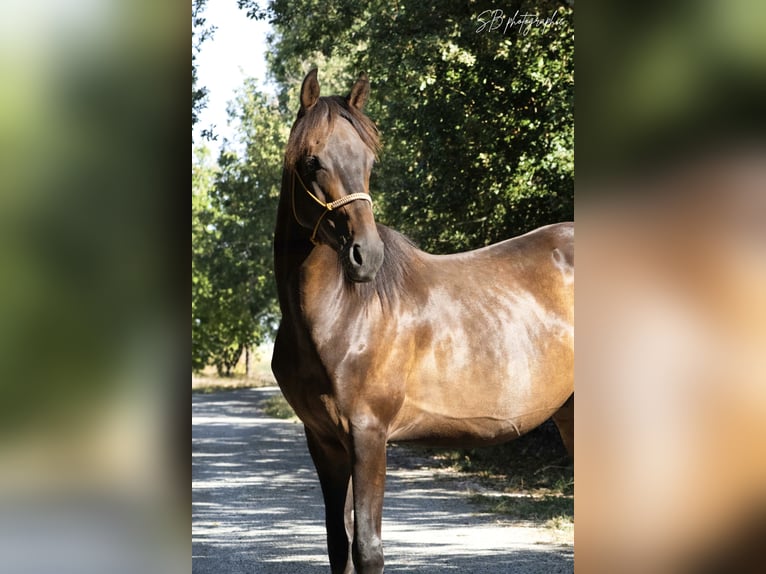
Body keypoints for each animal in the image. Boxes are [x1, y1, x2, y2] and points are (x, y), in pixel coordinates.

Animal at [272, 70, 572, 572]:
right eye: (312, 160)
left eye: (369, 160)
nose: (366, 255)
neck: (342, 316)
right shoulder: (325, 442)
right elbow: (338, 545)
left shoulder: (368, 435)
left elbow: (367, 549)